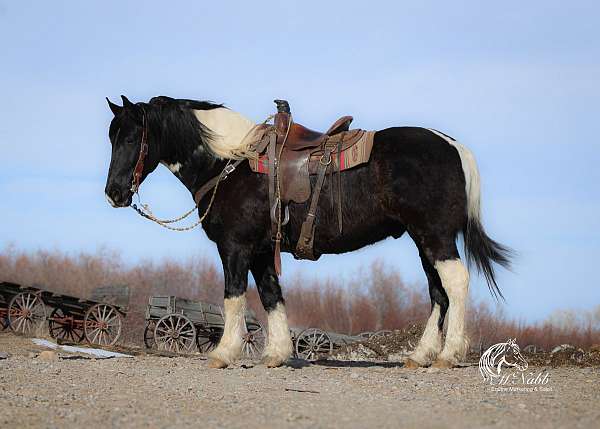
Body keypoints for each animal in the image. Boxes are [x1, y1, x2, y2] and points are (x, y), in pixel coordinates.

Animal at [104, 96, 510, 368]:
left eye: (131, 138)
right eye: (113, 137)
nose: (114, 193)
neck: (231, 161)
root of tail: (454, 146)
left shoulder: (235, 246)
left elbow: (234, 296)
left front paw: (223, 353)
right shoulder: (261, 250)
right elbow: (271, 295)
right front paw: (277, 353)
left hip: (435, 236)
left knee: (455, 283)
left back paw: (449, 354)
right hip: (424, 240)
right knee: (438, 292)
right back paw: (422, 355)